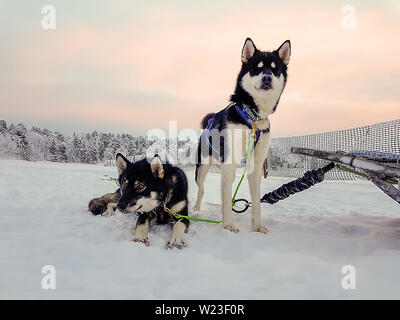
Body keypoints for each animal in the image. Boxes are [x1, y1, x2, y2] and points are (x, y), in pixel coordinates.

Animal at [194, 37, 290, 234]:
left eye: (275, 69)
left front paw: (257, 226)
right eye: (257, 68)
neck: (252, 118)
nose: (267, 78)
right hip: (202, 169)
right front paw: (228, 225)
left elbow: (256, 202)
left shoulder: (256, 166)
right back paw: (196, 210)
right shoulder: (229, 162)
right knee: (201, 190)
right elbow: (225, 200)